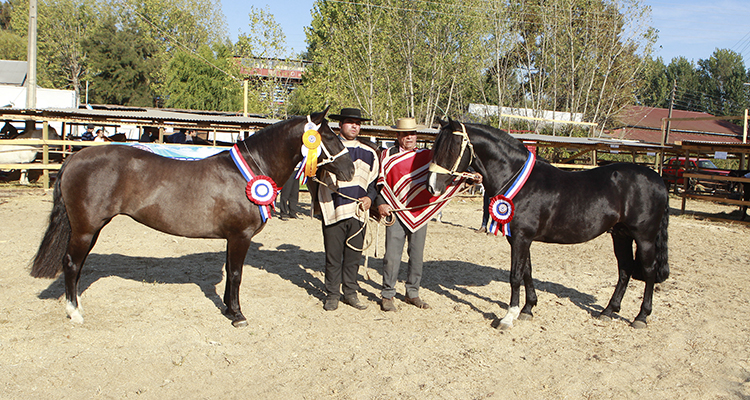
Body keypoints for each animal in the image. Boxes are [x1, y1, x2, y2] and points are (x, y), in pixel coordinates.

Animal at [31, 108, 356, 324]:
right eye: (329, 137)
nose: (351, 169)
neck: (249, 171)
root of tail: (75, 157)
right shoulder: (240, 236)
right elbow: (236, 274)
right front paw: (237, 315)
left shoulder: (231, 238)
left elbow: (230, 272)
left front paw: (227, 308)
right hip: (85, 228)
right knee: (72, 264)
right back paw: (75, 312)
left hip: (91, 228)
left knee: (78, 265)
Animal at [428, 120, 668, 330]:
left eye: (451, 148)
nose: (432, 187)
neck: (519, 180)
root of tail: (658, 180)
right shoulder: (519, 238)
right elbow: (527, 271)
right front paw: (528, 309)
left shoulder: (521, 237)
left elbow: (515, 275)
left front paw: (509, 317)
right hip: (620, 234)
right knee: (625, 269)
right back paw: (608, 311)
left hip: (644, 237)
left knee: (649, 271)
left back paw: (641, 317)